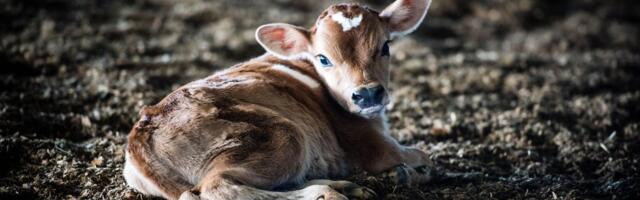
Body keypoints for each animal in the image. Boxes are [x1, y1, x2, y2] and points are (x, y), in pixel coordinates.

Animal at [124, 0, 436, 199]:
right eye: (323, 58)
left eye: (385, 47)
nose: (368, 94)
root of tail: (141, 131)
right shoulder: (375, 146)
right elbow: (425, 158)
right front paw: (408, 173)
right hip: (279, 134)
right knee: (215, 188)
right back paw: (327, 192)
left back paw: (347, 186)